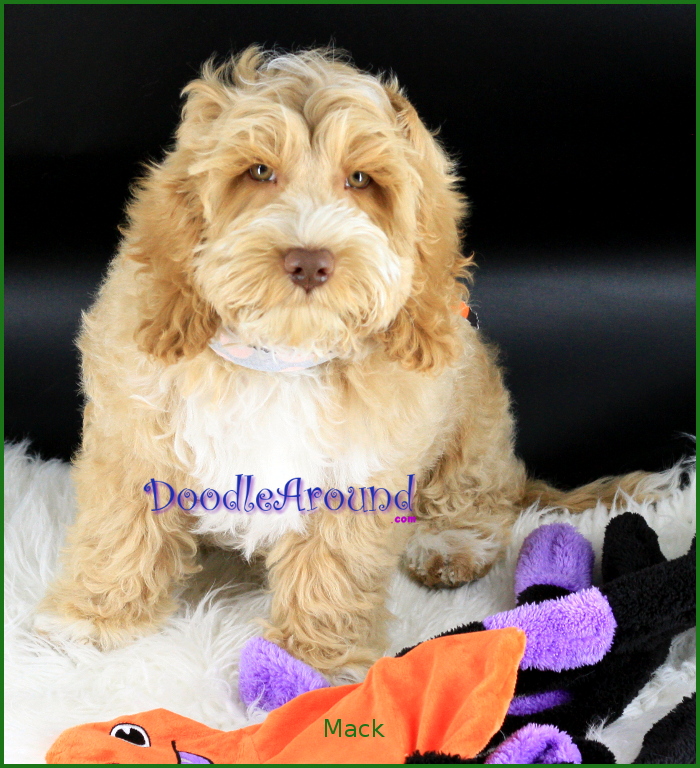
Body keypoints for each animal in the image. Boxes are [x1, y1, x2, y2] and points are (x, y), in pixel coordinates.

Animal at [36, 47, 648, 678]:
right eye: (259, 172)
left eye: (360, 180)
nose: (309, 261)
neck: (282, 354)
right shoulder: (136, 432)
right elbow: (122, 528)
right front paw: (93, 621)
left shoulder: (363, 467)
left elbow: (334, 562)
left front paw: (310, 662)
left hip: (474, 421)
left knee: (481, 496)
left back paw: (450, 545)